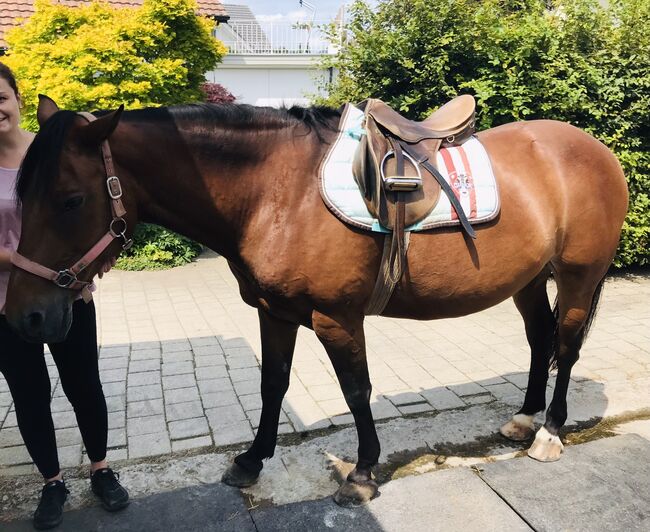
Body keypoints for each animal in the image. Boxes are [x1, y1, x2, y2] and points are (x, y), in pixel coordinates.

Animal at [3, 95, 624, 508]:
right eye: (21, 195)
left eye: (70, 199)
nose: (25, 317)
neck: (277, 192)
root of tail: (595, 148)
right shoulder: (275, 312)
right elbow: (272, 384)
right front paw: (251, 462)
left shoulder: (336, 319)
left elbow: (357, 390)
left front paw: (364, 472)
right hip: (528, 280)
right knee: (541, 340)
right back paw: (523, 419)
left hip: (577, 277)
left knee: (567, 347)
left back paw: (549, 433)